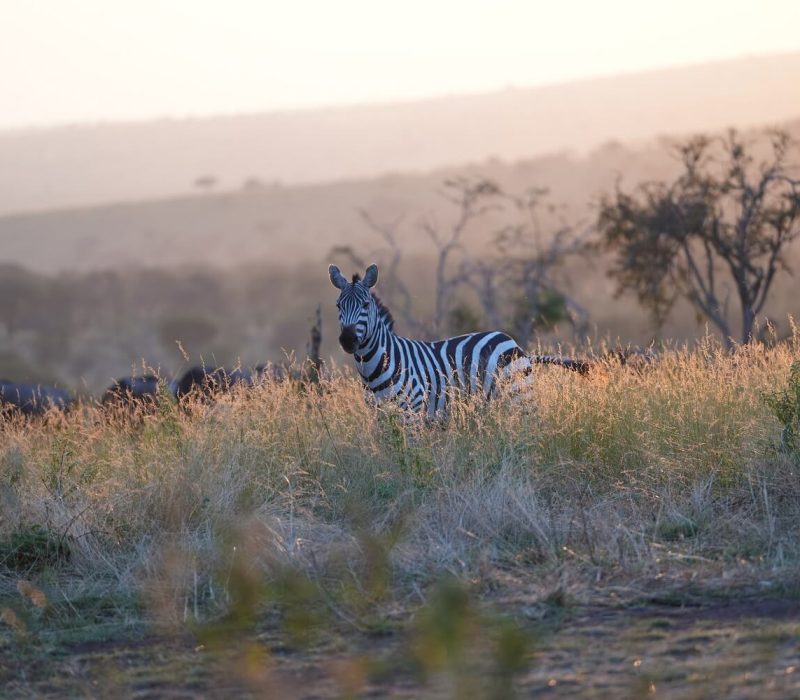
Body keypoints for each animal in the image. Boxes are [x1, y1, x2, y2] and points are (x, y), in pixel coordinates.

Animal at [329, 263, 588, 417]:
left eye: (365, 305)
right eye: (338, 306)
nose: (347, 340)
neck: (375, 367)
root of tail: (514, 344)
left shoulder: (413, 410)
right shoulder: (380, 416)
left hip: (518, 393)